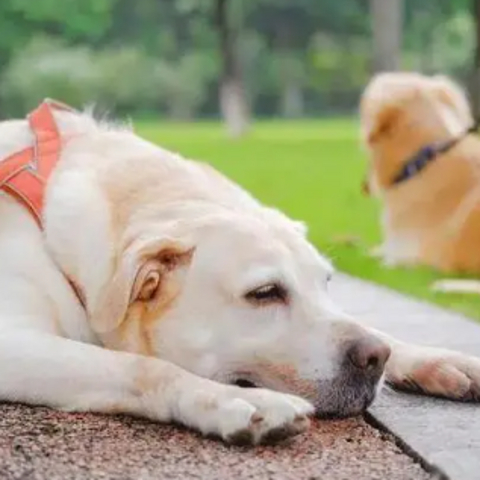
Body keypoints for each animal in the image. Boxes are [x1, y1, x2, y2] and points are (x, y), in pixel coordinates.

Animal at [0, 100, 478, 446]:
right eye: (264, 292)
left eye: (326, 283)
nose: (374, 358)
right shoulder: (15, 345)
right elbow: (145, 367)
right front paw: (233, 401)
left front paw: (431, 358)